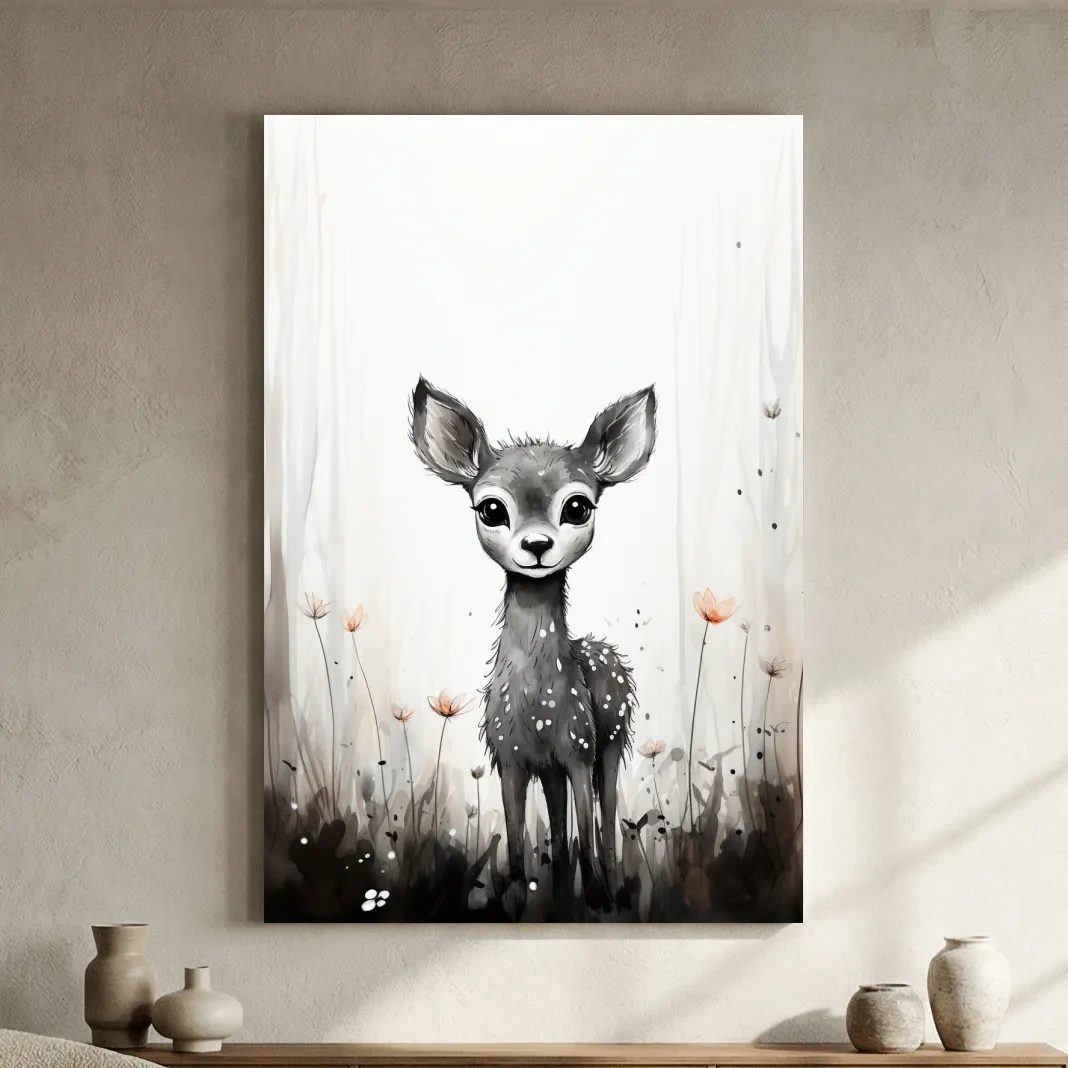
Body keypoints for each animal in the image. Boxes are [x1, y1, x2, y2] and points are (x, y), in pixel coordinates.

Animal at [409, 376, 656, 916]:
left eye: (578, 506)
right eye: (491, 508)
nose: (537, 546)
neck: (538, 704)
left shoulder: (579, 747)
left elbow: (587, 830)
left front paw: (598, 898)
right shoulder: (511, 757)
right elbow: (520, 847)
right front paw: (519, 901)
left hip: (610, 740)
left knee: (605, 823)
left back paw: (608, 890)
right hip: (554, 768)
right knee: (560, 833)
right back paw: (562, 895)